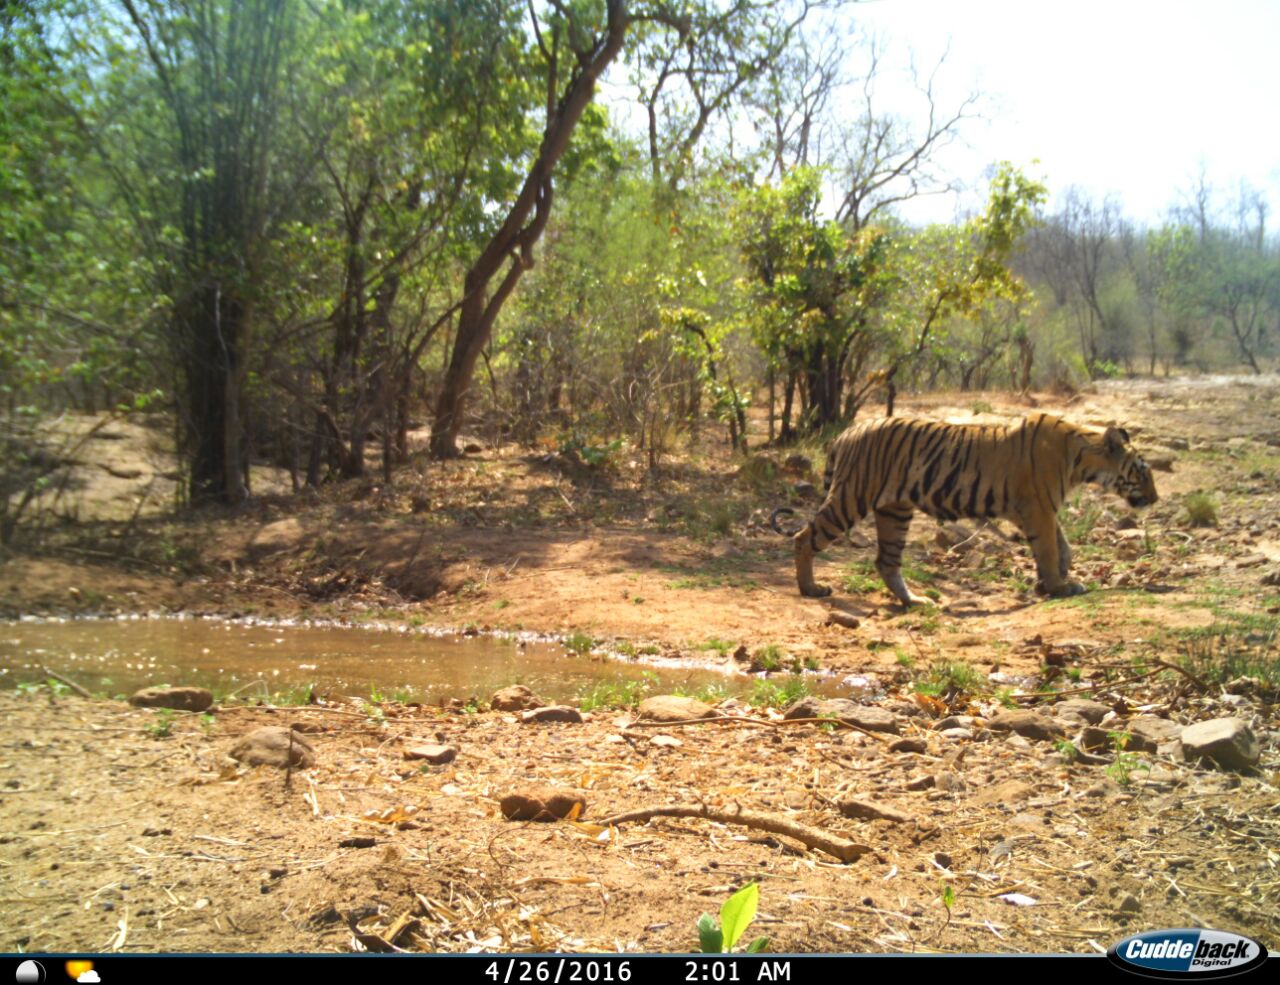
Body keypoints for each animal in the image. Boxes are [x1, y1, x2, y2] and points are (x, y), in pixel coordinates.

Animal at [771, 412, 1159, 606]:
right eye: (1143, 471)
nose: (1155, 499)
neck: (1082, 457)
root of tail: (846, 433)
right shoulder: (1039, 508)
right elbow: (1049, 548)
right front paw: (1058, 586)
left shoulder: (1037, 510)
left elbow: (1063, 546)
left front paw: (1054, 580)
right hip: (852, 497)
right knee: (805, 537)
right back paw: (810, 589)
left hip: (894, 510)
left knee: (886, 561)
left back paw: (915, 600)